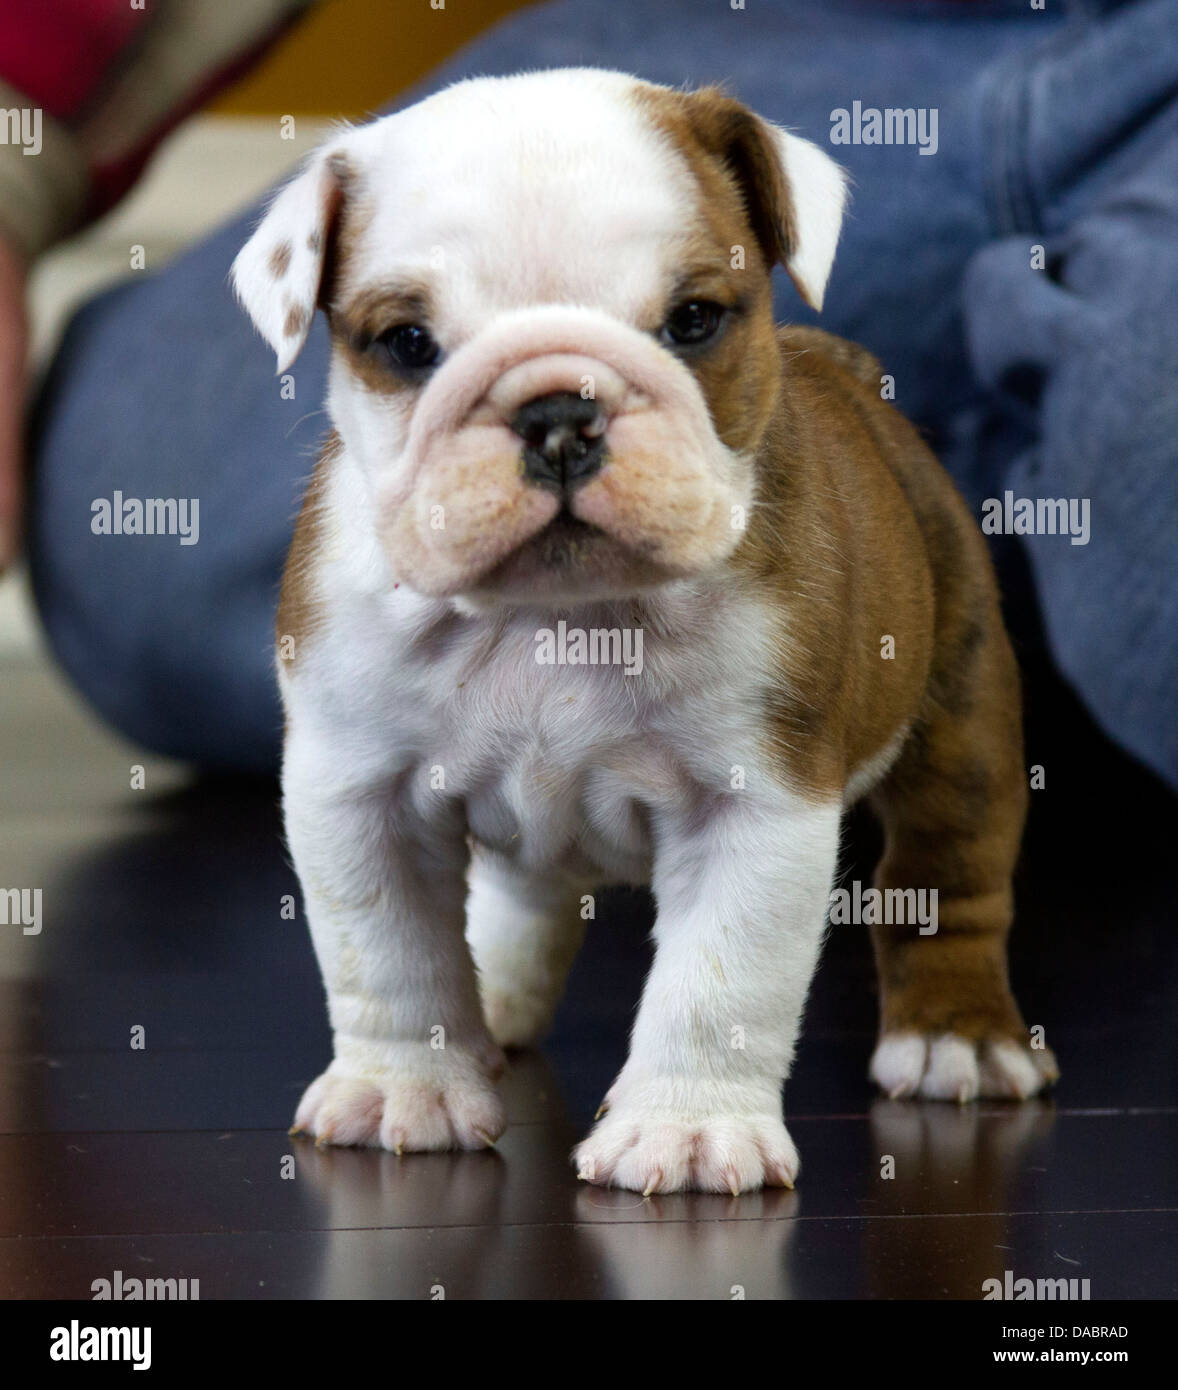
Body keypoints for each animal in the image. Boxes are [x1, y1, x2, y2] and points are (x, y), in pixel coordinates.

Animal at [232, 67, 1057, 1195]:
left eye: (693, 320)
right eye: (407, 344)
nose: (557, 412)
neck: (558, 619)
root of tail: (842, 367)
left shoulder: (753, 803)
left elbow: (718, 980)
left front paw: (687, 1127)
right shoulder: (361, 791)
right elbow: (392, 954)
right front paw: (408, 1087)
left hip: (959, 704)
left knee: (949, 870)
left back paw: (955, 1039)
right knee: (518, 898)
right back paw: (494, 1003)